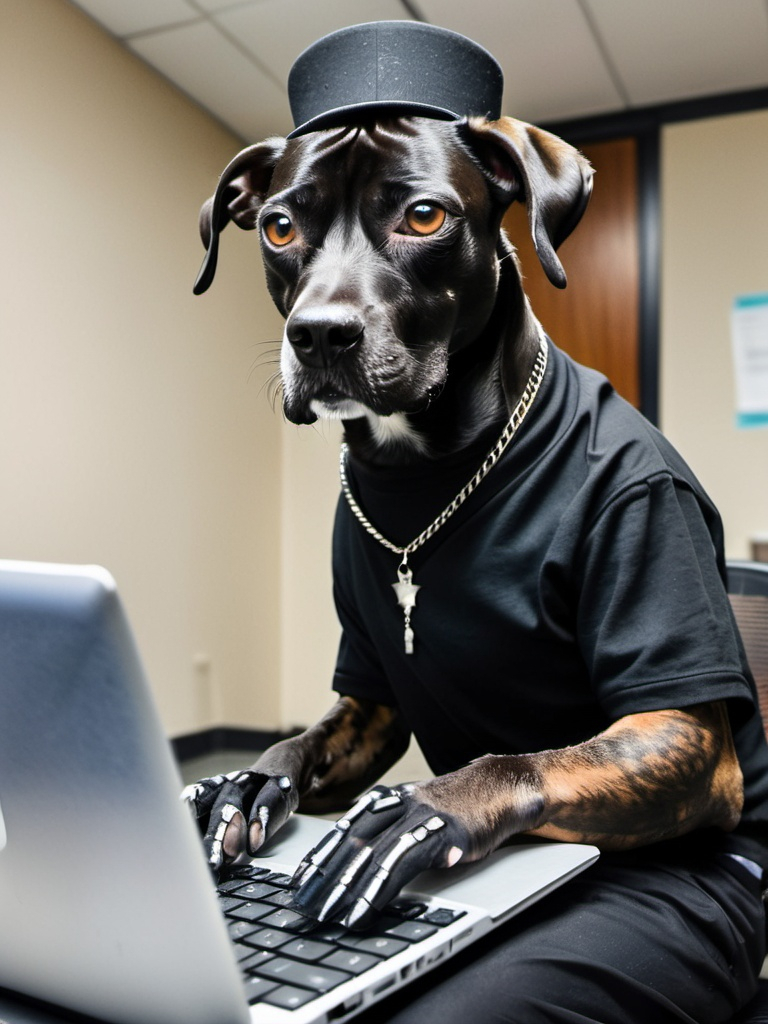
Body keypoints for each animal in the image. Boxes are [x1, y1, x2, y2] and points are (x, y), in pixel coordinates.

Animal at [186, 116, 745, 933]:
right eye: (279, 227)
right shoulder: (369, 708)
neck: (425, 458)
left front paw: (425, 806)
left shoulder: (686, 738)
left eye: (424, 217)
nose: (317, 334)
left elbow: (521, 760)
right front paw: (252, 778)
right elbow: (305, 742)